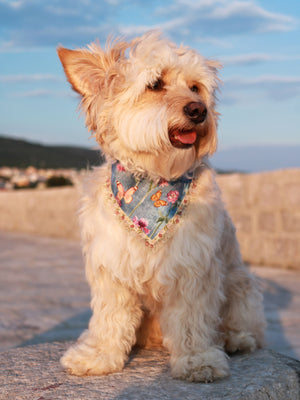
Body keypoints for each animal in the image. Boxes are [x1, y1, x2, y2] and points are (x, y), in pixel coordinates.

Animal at [58, 30, 264, 382]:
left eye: (195, 87)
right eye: (155, 84)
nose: (199, 110)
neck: (154, 178)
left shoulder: (192, 266)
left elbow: (192, 319)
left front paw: (197, 360)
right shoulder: (111, 267)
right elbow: (110, 317)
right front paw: (98, 355)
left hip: (240, 284)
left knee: (243, 325)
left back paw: (235, 339)